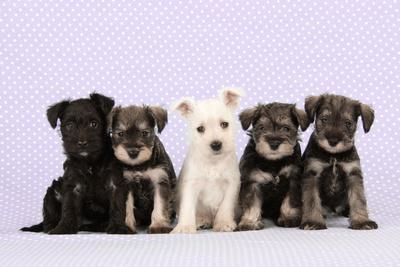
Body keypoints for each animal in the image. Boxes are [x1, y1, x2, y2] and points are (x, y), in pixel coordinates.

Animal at [20, 93, 115, 234]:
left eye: (94, 124)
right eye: (69, 125)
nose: (82, 143)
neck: (90, 163)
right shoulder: (73, 185)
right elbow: (69, 208)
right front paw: (64, 228)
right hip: (52, 192)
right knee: (48, 220)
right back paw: (51, 227)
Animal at [105, 105, 176, 236]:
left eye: (144, 133)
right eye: (120, 133)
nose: (133, 152)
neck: (139, 165)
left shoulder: (159, 182)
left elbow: (160, 205)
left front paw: (158, 225)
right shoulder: (127, 184)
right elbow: (127, 207)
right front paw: (127, 226)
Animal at [170, 88, 242, 234]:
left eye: (224, 124)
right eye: (200, 129)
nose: (216, 144)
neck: (213, 162)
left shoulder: (231, 184)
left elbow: (226, 206)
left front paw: (223, 223)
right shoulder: (190, 184)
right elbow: (187, 206)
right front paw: (185, 226)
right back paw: (201, 221)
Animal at [238, 103, 310, 231]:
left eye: (286, 128)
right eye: (262, 128)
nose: (274, 143)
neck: (273, 162)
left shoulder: (293, 180)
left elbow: (290, 201)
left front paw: (288, 218)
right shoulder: (252, 181)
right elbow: (251, 203)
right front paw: (249, 222)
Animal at [300, 94, 378, 230]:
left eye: (348, 123)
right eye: (324, 119)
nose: (333, 141)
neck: (334, 155)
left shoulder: (353, 174)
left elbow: (358, 198)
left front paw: (362, 221)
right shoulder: (312, 174)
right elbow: (311, 199)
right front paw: (313, 221)